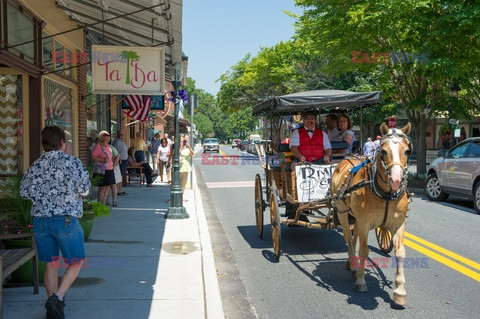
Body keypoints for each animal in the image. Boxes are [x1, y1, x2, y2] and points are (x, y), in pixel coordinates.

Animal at [330, 122, 412, 308]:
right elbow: (364, 251)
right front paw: (361, 281)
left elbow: (400, 253)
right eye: (383, 151)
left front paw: (400, 291)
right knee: (348, 237)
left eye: (407, 151)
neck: (385, 194)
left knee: (352, 238)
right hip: (344, 213)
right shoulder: (364, 222)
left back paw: (350, 262)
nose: (396, 180)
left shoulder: (398, 224)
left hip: (354, 217)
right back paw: (354, 266)